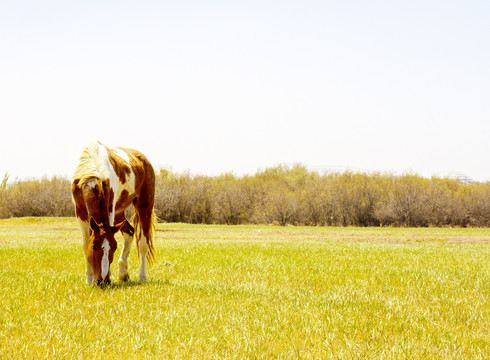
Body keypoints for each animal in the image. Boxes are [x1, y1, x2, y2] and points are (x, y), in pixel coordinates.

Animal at [70, 142, 155, 286]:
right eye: (94, 247)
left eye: (114, 248)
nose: (103, 281)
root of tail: (144, 160)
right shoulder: (80, 212)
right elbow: (85, 244)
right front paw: (89, 278)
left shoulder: (110, 208)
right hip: (119, 213)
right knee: (130, 232)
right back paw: (123, 273)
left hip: (144, 207)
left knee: (143, 244)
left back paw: (142, 276)